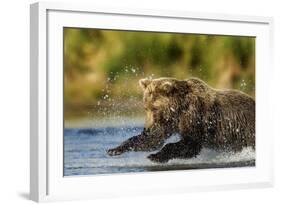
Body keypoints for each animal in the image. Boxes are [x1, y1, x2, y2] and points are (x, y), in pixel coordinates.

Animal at [106, 77, 255, 163]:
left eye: (154, 108)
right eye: (145, 107)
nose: (147, 128)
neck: (178, 109)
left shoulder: (196, 116)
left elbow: (190, 144)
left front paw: (155, 156)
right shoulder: (168, 122)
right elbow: (154, 139)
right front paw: (114, 149)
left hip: (246, 131)